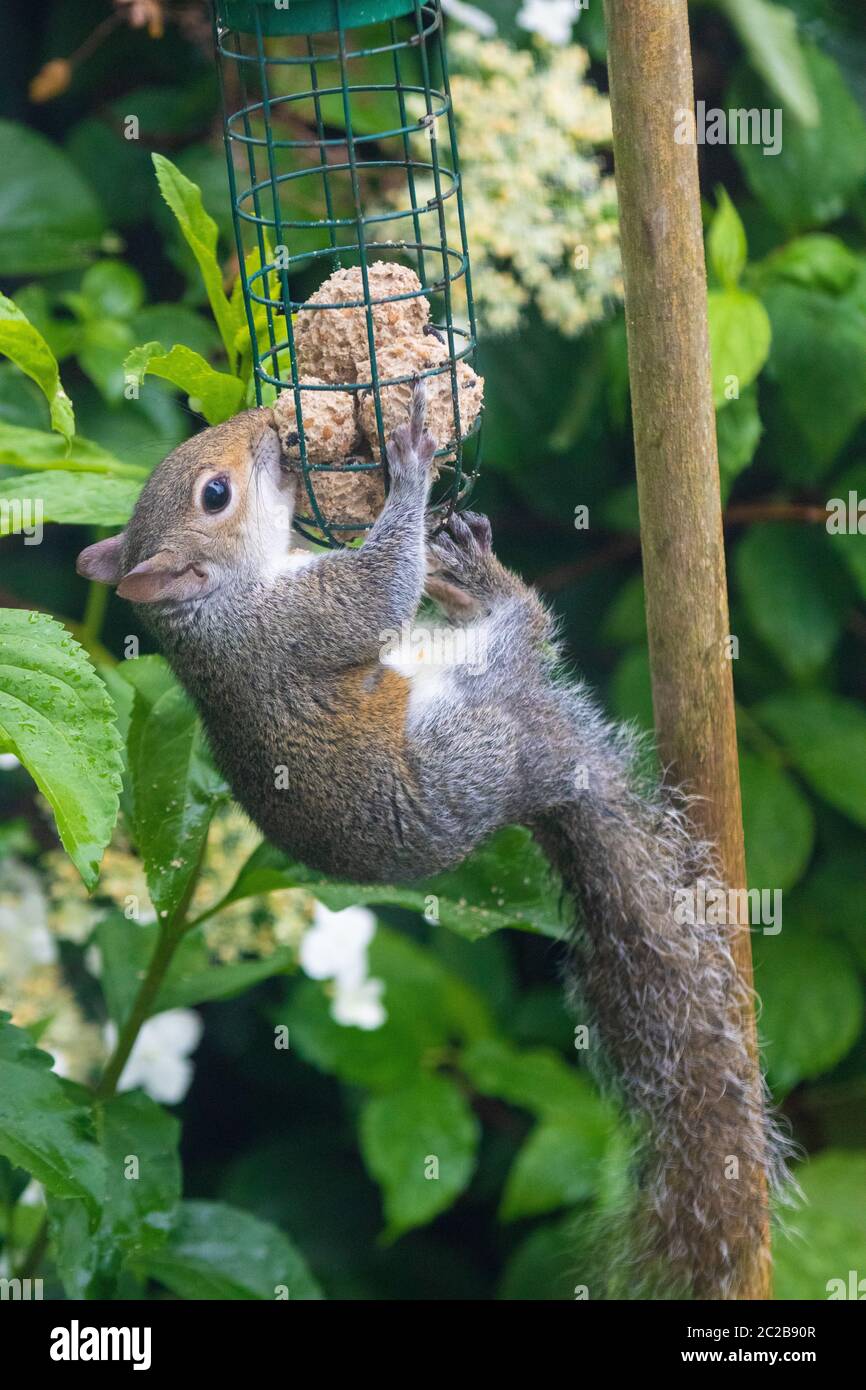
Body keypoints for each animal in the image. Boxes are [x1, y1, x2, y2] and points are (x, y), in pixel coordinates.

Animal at [77, 385, 787, 1299]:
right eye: (215, 495)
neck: (217, 606)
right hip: (468, 727)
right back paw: (488, 589)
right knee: (527, 630)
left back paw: (471, 571)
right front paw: (411, 465)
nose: (270, 424)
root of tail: (544, 773)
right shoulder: (299, 622)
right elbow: (378, 592)